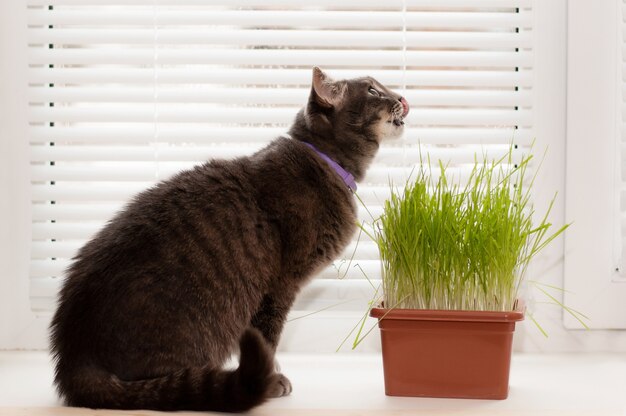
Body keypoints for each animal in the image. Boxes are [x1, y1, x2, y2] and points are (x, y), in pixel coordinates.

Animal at [50, 66, 410, 412]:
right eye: (373, 90)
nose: (403, 98)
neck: (327, 161)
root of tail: (74, 360)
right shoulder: (279, 288)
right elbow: (268, 337)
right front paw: (273, 379)